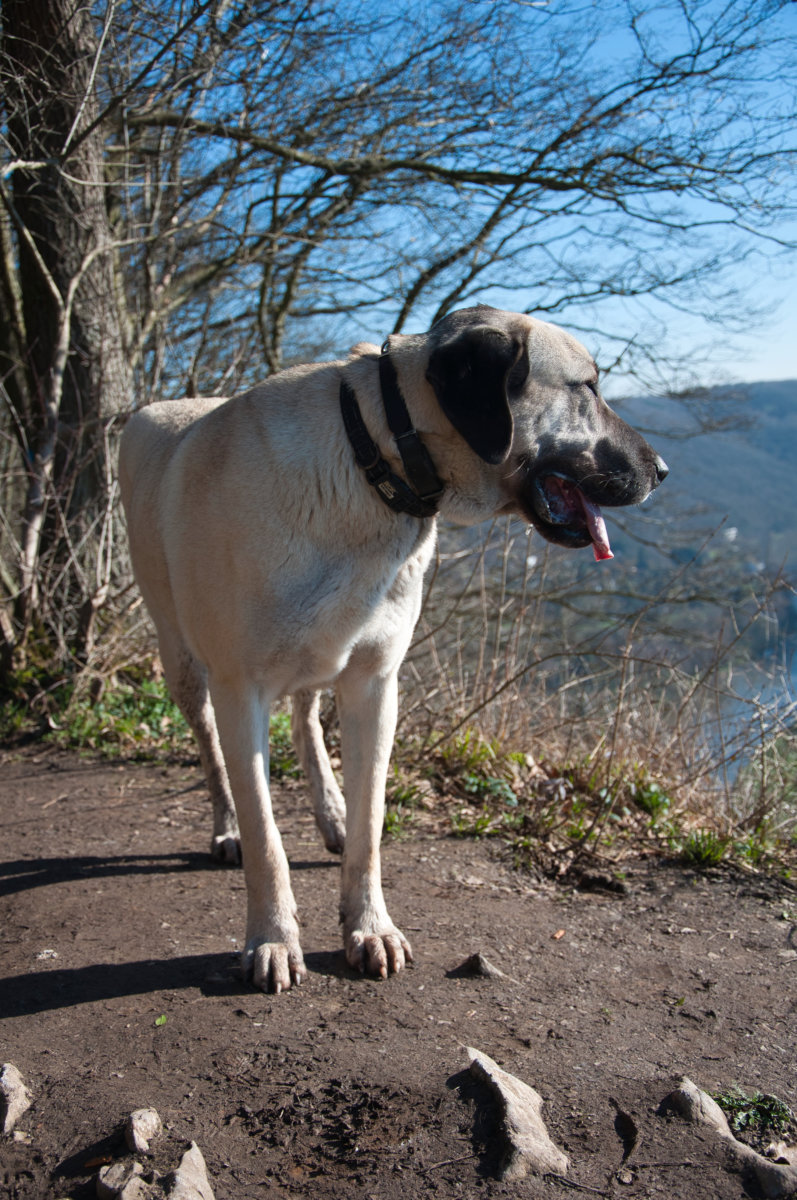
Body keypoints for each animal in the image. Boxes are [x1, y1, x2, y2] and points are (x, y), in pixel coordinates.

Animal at [118, 307, 667, 993]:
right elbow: (266, 834)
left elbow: (371, 826)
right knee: (213, 750)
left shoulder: (375, 685)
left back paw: (329, 812)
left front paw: (369, 925)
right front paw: (273, 938)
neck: (371, 461)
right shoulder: (239, 689)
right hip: (183, 662)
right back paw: (226, 828)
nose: (662, 469)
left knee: (305, 718)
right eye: (587, 387)